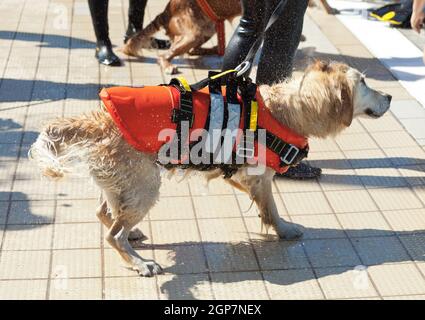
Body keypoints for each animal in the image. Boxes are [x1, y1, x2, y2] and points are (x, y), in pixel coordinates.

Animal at [29, 61, 390, 276]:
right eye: (365, 82)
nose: (388, 96)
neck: (287, 108)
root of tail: (98, 119)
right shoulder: (259, 175)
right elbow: (272, 208)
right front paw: (285, 230)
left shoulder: (243, 175)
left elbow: (260, 203)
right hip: (144, 185)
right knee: (111, 234)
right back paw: (139, 262)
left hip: (124, 182)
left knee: (106, 213)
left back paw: (132, 234)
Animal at [121, 0, 336, 74]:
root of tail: (167, 10)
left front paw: (331, 9)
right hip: (194, 32)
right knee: (166, 54)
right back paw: (168, 66)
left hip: (206, 30)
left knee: (193, 50)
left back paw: (215, 50)